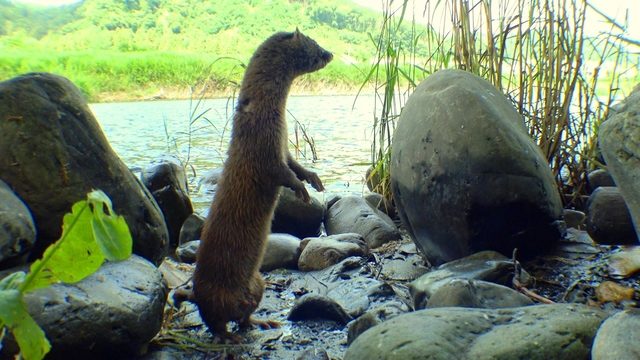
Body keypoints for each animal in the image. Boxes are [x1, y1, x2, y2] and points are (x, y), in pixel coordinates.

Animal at [192, 29, 332, 342]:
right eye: (315, 45)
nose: (330, 54)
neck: (271, 114)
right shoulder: (262, 146)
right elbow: (280, 173)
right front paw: (301, 191)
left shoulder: (283, 146)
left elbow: (294, 165)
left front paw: (314, 179)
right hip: (214, 292)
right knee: (214, 320)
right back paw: (227, 336)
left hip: (258, 284)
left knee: (244, 314)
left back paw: (262, 322)